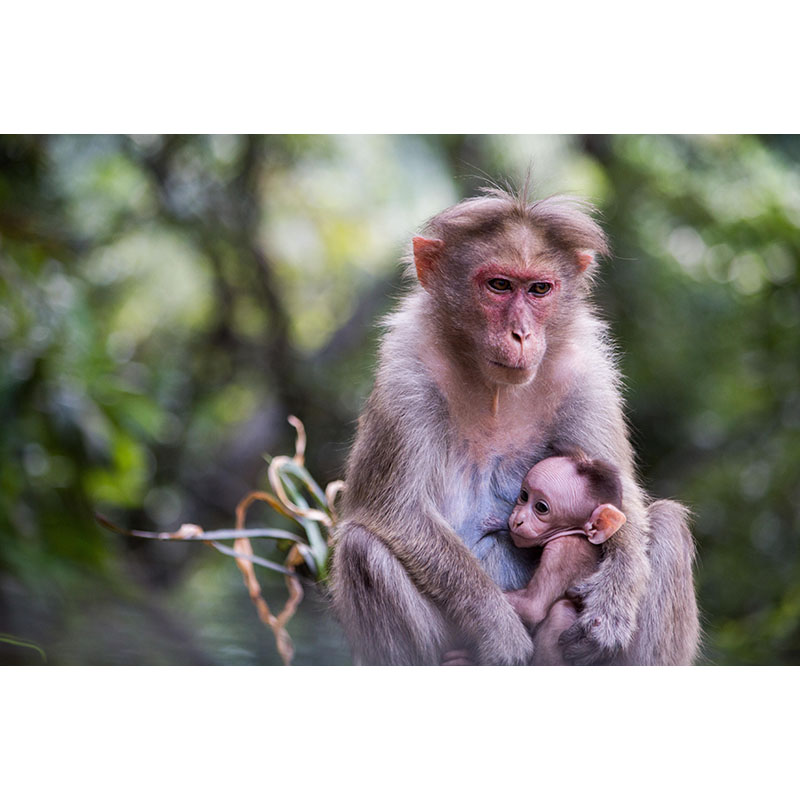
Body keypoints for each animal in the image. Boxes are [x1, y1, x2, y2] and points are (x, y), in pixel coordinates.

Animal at [328, 184, 696, 664]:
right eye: (499, 285)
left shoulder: (586, 374)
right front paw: (498, 628)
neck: (494, 387)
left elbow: (624, 501)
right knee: (362, 548)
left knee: (668, 523)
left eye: (539, 289)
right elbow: (397, 511)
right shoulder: (406, 375)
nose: (521, 334)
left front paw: (611, 607)